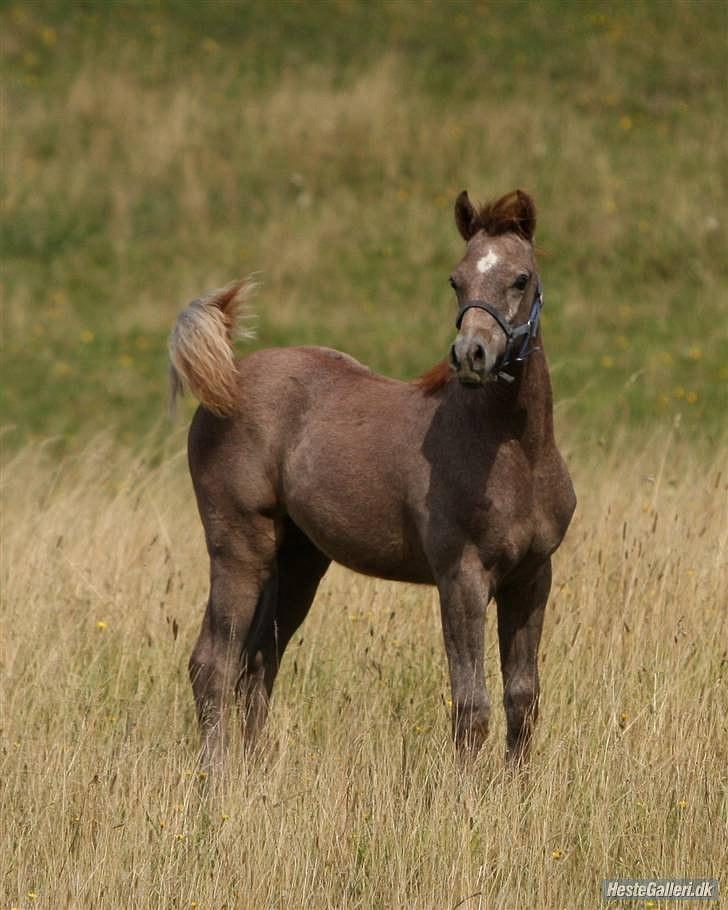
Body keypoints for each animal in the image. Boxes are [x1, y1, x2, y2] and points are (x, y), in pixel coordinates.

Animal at [169, 189, 576, 772]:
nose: (471, 355)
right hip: (240, 548)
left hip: (298, 560)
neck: (517, 453)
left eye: (521, 279)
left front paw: (517, 787)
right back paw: (216, 776)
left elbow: (523, 697)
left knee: (259, 664)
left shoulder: (533, 576)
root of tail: (229, 380)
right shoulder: (462, 577)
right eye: (456, 280)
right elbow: (471, 704)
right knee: (213, 664)